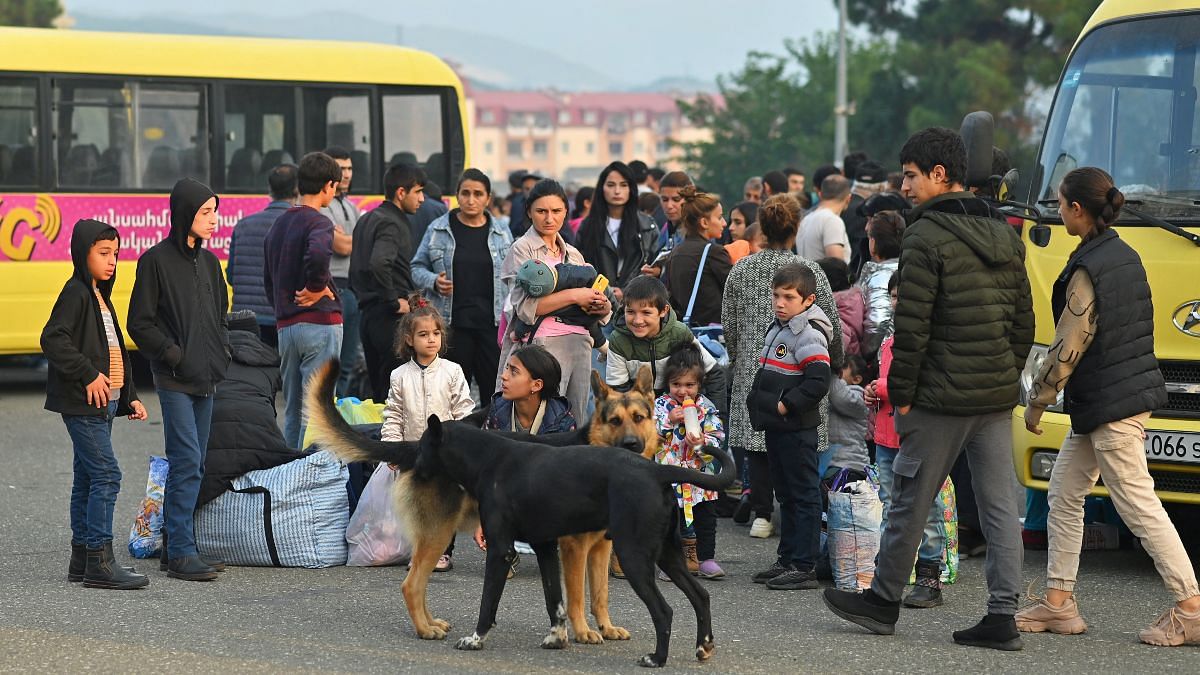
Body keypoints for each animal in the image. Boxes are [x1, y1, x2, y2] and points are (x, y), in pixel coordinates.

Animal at [304, 360, 734, 662]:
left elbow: (579, 597)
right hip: (442, 533)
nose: (631, 444)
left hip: (641, 555)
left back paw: (663, 657)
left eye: (640, 418)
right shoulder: (561, 548)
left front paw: (581, 632)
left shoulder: (564, 548)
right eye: (614, 419)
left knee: (674, 607)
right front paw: (576, 633)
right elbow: (569, 599)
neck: (487, 455)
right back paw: (427, 628)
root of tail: (656, 469)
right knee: (413, 584)